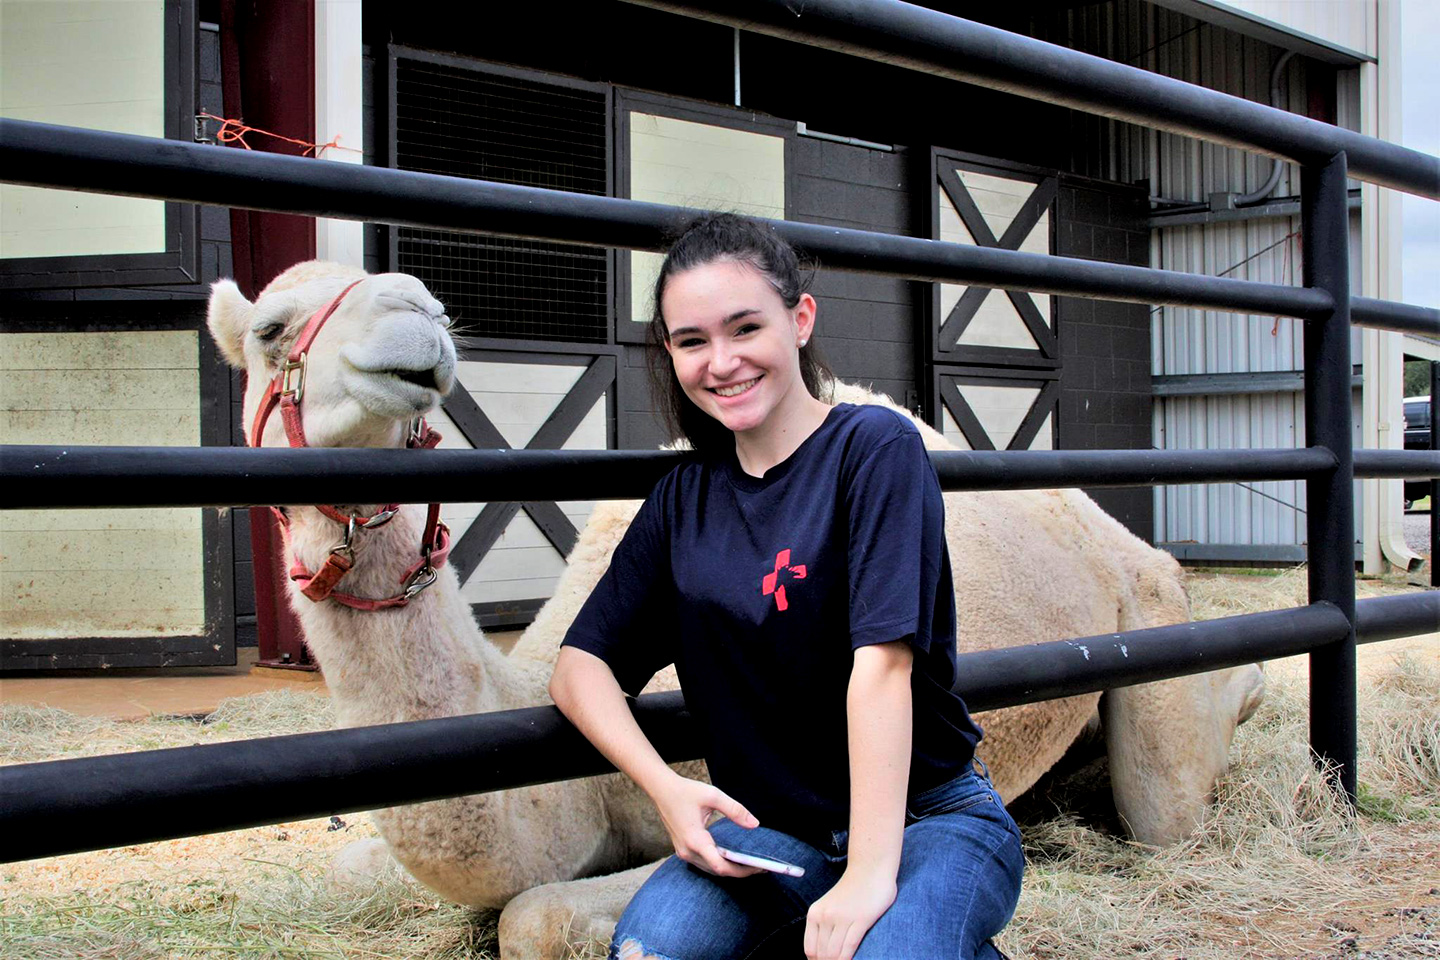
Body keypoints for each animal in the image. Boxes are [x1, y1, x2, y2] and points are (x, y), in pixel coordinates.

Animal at [208, 263, 1267, 960]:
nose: (417, 322)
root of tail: (1125, 542)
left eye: (426, 300)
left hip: (1152, 629)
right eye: (270, 327)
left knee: (1169, 798)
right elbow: (356, 870)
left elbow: (532, 915)